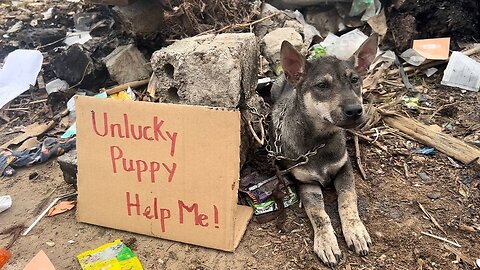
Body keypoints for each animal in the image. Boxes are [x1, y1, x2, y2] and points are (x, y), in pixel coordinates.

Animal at [272, 34, 376, 268]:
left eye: (355, 80)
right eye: (322, 85)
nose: (356, 111)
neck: (319, 141)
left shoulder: (344, 168)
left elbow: (347, 200)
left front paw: (355, 231)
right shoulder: (305, 182)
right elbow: (318, 213)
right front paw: (326, 242)